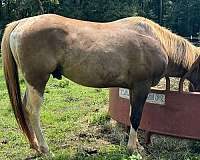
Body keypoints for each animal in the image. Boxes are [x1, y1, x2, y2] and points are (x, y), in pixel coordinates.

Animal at [1, 14, 200, 155]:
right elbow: (136, 117)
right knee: (32, 110)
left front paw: (136, 145)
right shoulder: (141, 86)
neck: (157, 40)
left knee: (25, 108)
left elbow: (131, 115)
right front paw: (132, 148)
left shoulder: (133, 89)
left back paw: (34, 145)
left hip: (32, 82)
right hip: (38, 80)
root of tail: (22, 23)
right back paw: (45, 148)